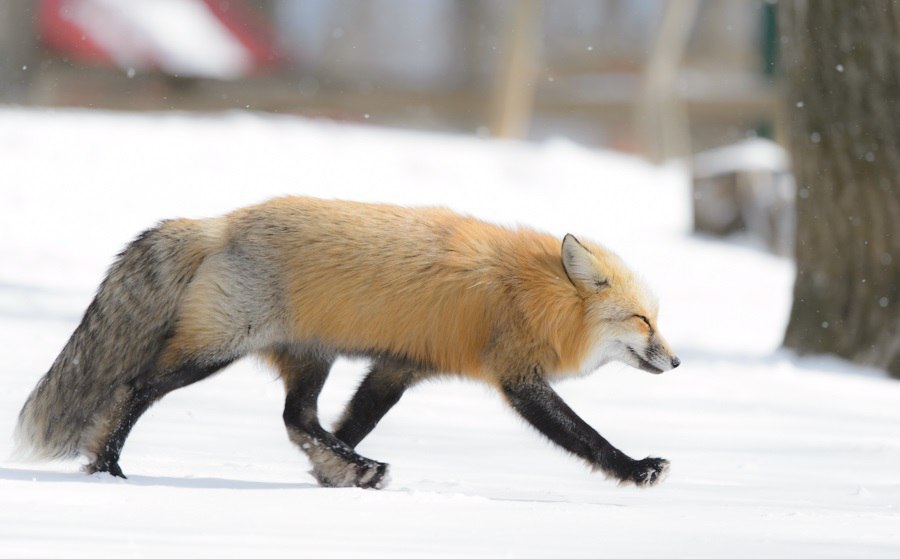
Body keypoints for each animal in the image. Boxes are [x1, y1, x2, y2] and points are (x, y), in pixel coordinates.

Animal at [15, 197, 676, 490]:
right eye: (642, 320)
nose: (674, 360)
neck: (529, 291)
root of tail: (219, 224)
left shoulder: (400, 366)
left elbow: (350, 423)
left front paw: (332, 473)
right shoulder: (516, 378)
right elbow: (584, 435)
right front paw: (635, 468)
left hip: (313, 357)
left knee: (297, 417)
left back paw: (355, 467)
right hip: (215, 351)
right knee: (134, 389)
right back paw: (106, 465)